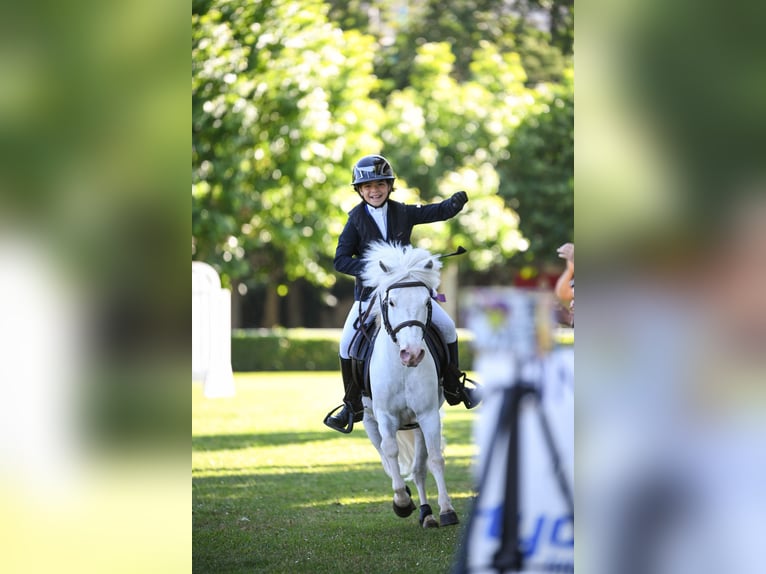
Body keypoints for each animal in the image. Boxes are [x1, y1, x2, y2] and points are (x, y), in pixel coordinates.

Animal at [358, 241, 456, 528]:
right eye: (391, 301)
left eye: (426, 301)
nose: (411, 354)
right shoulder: (385, 415)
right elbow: (390, 452)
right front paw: (401, 501)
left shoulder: (428, 414)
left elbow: (434, 459)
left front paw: (446, 510)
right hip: (369, 421)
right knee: (384, 455)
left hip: (417, 423)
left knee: (419, 467)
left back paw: (427, 513)